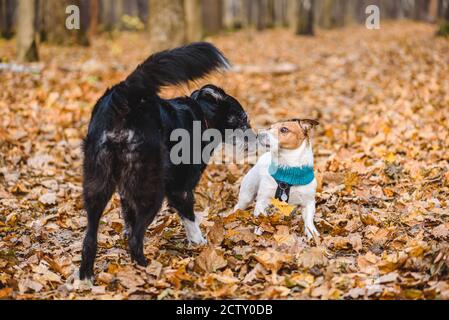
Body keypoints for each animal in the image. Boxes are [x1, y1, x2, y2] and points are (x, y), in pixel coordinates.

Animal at [79, 43, 250, 280]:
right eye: (243, 119)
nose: (257, 138)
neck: (202, 117)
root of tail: (123, 96)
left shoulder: (126, 192)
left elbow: (128, 222)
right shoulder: (181, 187)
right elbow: (190, 218)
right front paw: (200, 243)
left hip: (97, 183)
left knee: (90, 238)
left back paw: (86, 277)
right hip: (151, 189)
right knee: (135, 239)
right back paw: (146, 268)